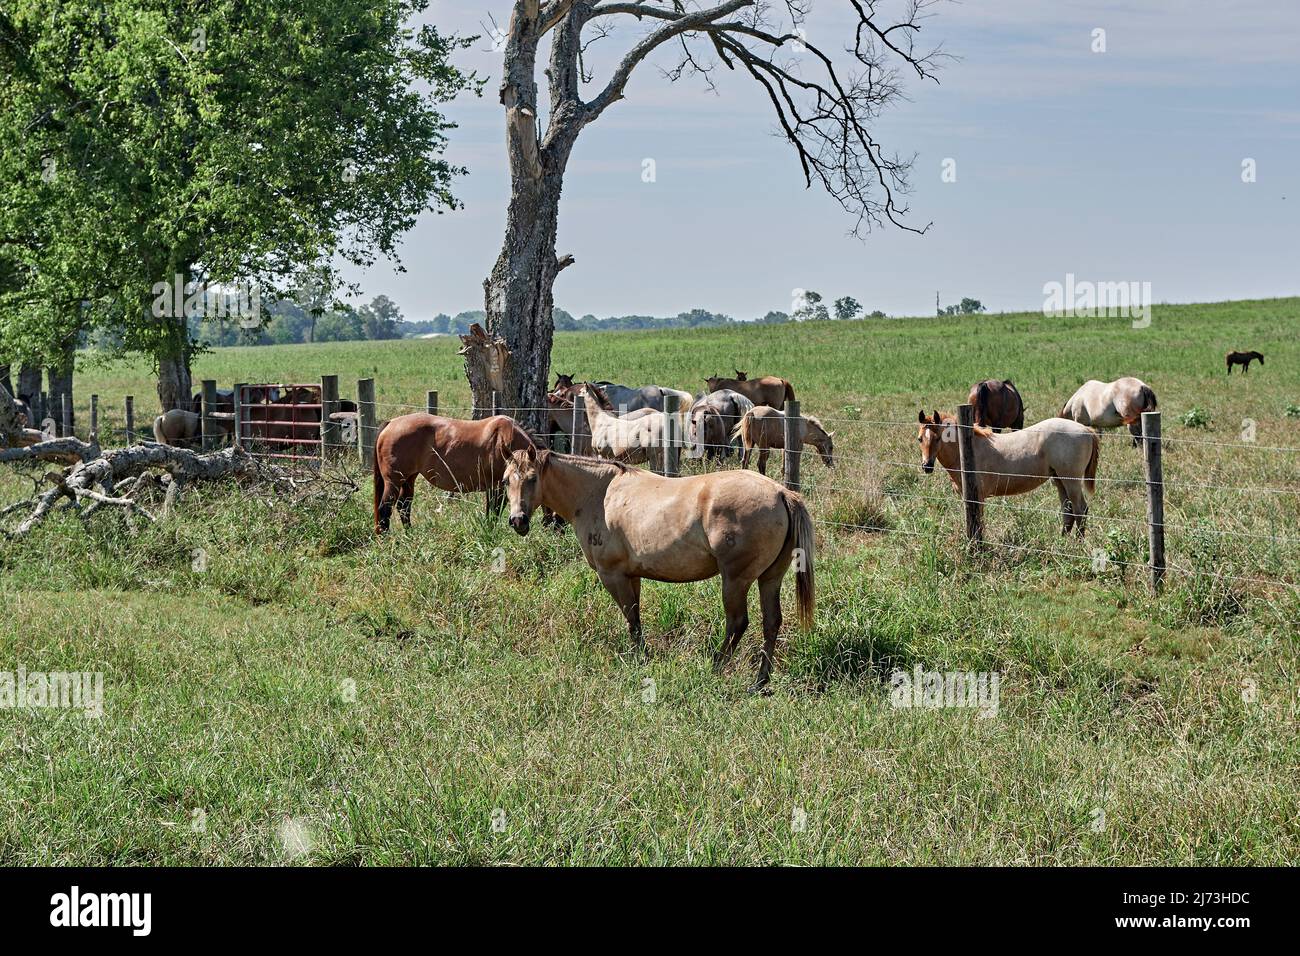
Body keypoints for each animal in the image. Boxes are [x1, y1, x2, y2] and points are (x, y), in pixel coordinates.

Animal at [374, 411, 535, 530]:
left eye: (533, 480)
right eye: (508, 480)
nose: (520, 523)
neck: (505, 441)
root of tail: (391, 423)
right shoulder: (496, 488)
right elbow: (493, 514)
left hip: (409, 478)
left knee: (403, 507)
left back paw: (409, 535)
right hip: (394, 481)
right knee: (385, 509)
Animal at [499, 444, 811, 691]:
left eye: (532, 478)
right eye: (505, 481)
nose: (517, 520)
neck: (599, 494)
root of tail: (780, 492)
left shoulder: (612, 575)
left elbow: (631, 619)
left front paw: (640, 660)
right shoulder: (632, 575)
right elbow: (635, 618)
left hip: (735, 580)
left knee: (737, 623)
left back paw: (715, 668)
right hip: (770, 578)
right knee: (771, 623)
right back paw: (760, 682)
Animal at [915, 408, 1097, 535]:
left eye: (938, 438)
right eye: (919, 439)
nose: (927, 466)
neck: (968, 449)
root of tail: (1086, 430)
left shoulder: (978, 497)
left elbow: (979, 524)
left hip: (1071, 481)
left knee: (1080, 510)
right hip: (1059, 480)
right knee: (1068, 512)